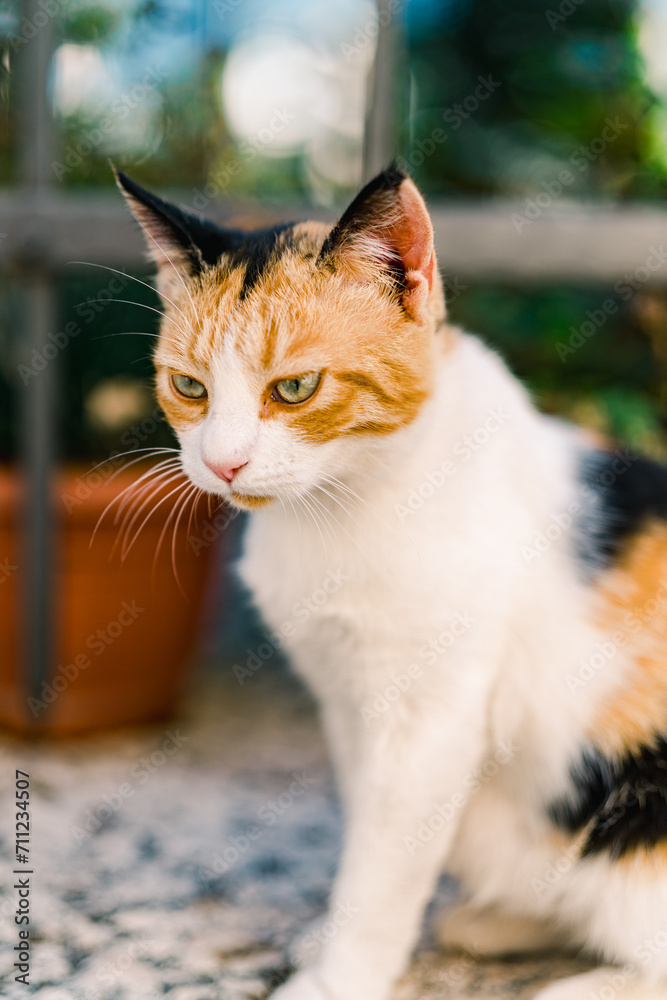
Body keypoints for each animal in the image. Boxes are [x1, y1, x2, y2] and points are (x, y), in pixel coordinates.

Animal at [116, 166, 667, 1000]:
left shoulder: (427, 719)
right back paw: (495, 922)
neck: (338, 508)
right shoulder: (344, 698)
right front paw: (332, 944)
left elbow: (385, 860)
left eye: (295, 388)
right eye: (188, 387)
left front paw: (339, 978)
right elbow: (372, 833)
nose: (221, 462)